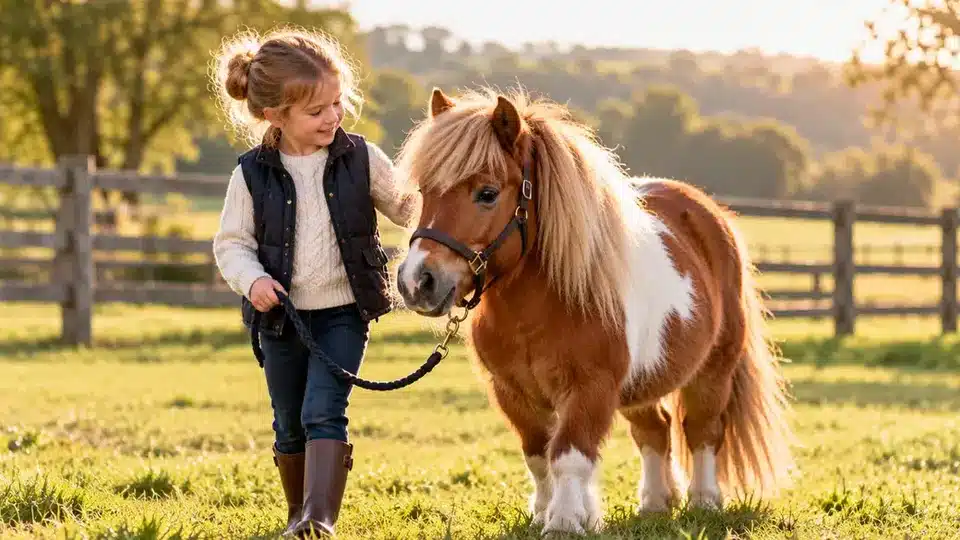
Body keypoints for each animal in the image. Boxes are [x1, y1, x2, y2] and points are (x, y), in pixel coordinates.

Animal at [393, 86, 796, 535]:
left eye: (487, 193)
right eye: (425, 192)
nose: (417, 281)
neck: (537, 310)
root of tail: (712, 217)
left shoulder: (590, 388)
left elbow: (569, 455)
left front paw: (565, 522)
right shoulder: (513, 393)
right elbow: (538, 455)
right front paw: (545, 513)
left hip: (713, 370)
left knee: (703, 431)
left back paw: (704, 501)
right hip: (643, 382)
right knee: (655, 431)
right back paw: (654, 504)